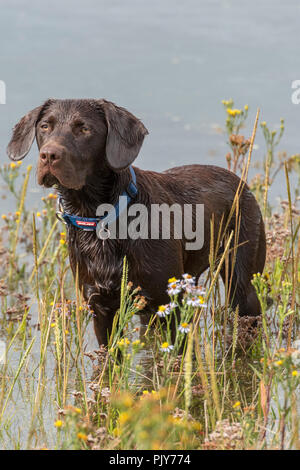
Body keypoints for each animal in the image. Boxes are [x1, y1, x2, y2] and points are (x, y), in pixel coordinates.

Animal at [6, 98, 264, 346]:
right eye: (44, 126)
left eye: (84, 129)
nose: (49, 155)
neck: (100, 219)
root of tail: (241, 183)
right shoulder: (101, 309)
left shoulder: (169, 305)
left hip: (242, 287)